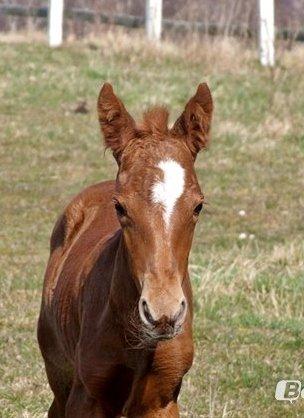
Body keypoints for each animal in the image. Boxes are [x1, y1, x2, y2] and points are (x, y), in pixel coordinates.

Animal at [38, 82, 213, 418]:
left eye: (198, 206)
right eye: (120, 207)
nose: (162, 313)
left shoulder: (162, 400)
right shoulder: (86, 397)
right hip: (60, 373)